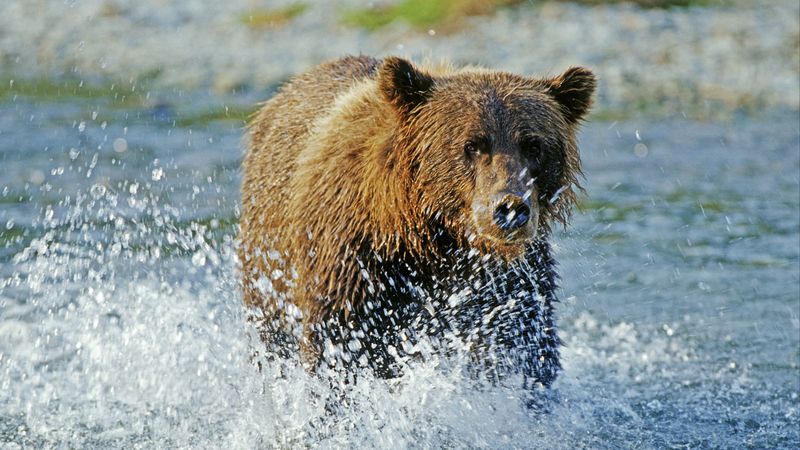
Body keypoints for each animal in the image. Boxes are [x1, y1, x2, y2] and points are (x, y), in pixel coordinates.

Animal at [239, 55, 595, 388]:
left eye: (533, 145)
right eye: (472, 144)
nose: (509, 208)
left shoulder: (508, 284)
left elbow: (521, 346)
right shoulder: (355, 262)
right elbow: (341, 348)